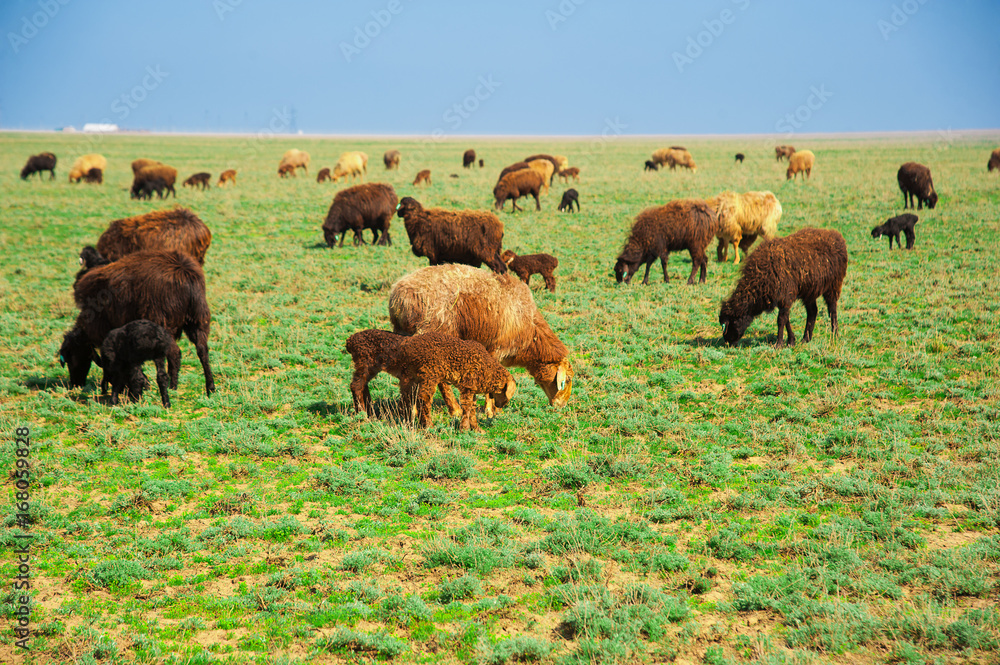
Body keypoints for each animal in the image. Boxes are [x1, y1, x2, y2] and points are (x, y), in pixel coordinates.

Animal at [59, 249, 214, 396]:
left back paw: (173, 387)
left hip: (165, 323)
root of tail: (184, 273)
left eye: (70, 357)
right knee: (202, 350)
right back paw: (210, 388)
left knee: (175, 353)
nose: (76, 384)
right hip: (199, 318)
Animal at [389, 264, 573, 409]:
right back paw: (455, 410)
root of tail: (400, 296)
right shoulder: (496, 349)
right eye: (569, 379)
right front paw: (487, 406)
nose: (562, 405)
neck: (532, 332)